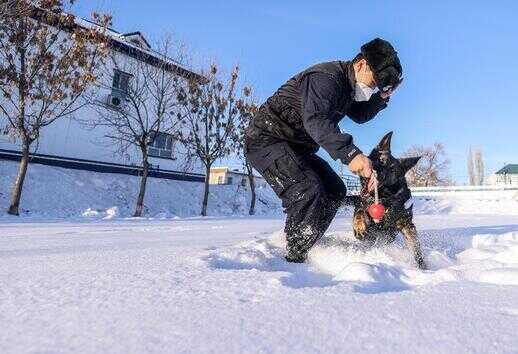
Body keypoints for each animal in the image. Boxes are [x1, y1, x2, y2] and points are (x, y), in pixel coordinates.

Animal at [352, 131, 428, 270]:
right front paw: (359, 226)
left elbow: (416, 249)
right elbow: (360, 212)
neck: (383, 197)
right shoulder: (361, 204)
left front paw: (423, 267)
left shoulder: (406, 224)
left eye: (393, 170)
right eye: (381, 160)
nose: (380, 175)